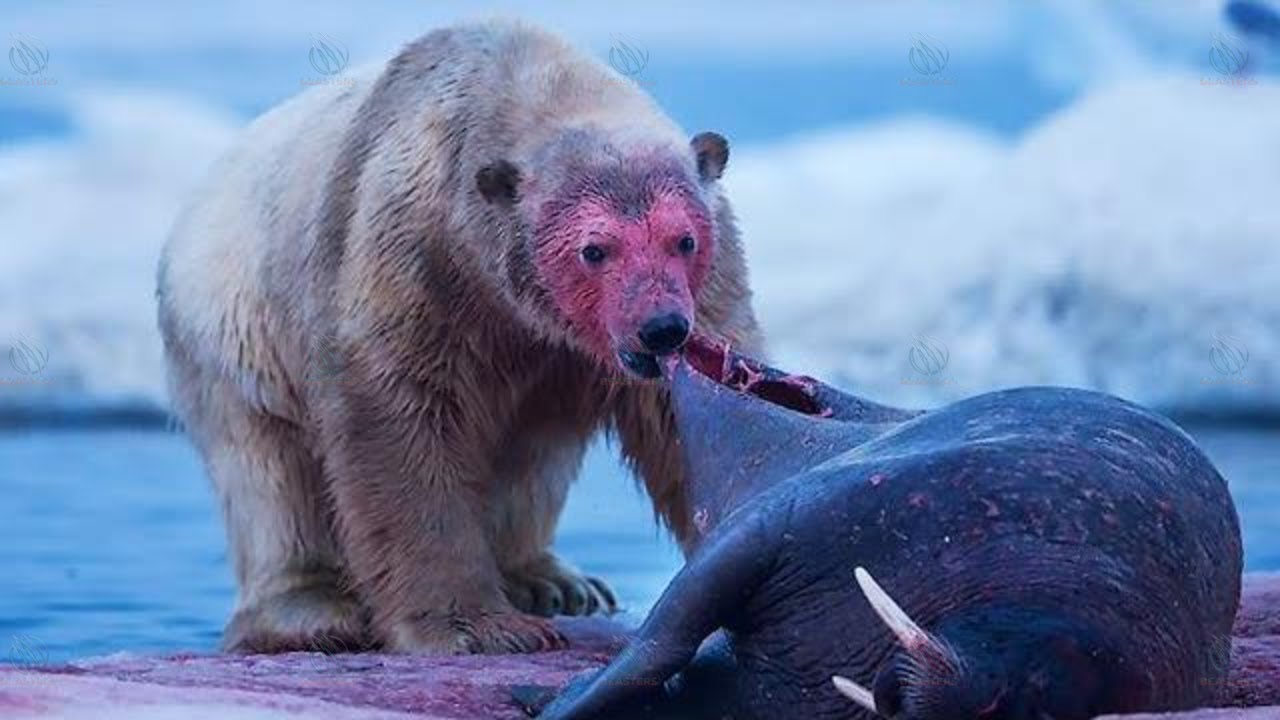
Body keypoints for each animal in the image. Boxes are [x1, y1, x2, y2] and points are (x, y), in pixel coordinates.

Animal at [156, 18, 762, 655]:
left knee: (536, 457)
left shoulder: (707, 284)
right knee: (267, 476)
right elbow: (400, 424)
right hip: (232, 334)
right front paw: (478, 628)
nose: (661, 329)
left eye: (683, 239)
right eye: (594, 249)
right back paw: (313, 608)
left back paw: (556, 582)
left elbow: (689, 420)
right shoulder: (415, 257)